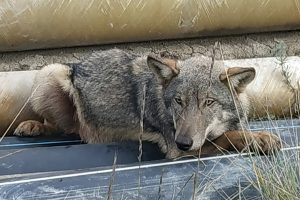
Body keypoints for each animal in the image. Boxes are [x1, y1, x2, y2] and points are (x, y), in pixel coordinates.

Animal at [13, 48, 282, 158]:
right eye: (178, 101)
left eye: (209, 102)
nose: (183, 142)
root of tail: (78, 63)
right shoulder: (176, 152)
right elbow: (227, 137)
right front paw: (259, 139)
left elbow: (232, 132)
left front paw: (256, 136)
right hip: (49, 72)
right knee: (61, 127)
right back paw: (33, 126)